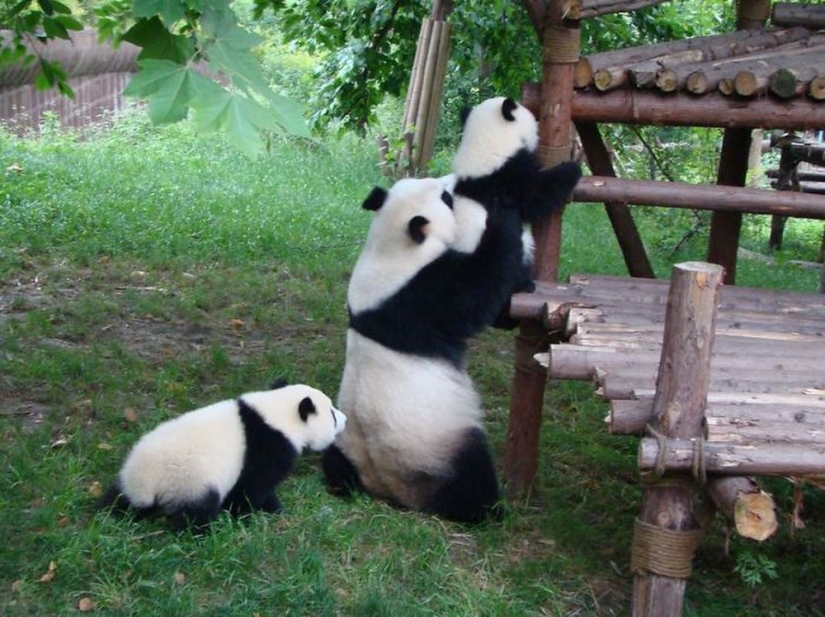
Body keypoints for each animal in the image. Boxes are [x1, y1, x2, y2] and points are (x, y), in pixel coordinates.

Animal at [99, 380, 344, 528]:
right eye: (332, 415)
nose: (345, 419)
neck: (275, 414)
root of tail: (149, 482)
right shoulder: (266, 447)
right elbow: (252, 488)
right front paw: (264, 510)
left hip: (130, 475)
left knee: (119, 499)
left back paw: (111, 513)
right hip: (191, 481)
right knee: (195, 512)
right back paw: (200, 531)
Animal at [318, 176, 524, 524]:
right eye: (445, 198)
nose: (453, 181)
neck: (391, 249)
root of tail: (386, 487)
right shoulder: (422, 295)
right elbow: (478, 292)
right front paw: (503, 214)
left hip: (344, 437)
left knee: (335, 461)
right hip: (438, 448)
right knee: (471, 477)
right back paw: (489, 511)